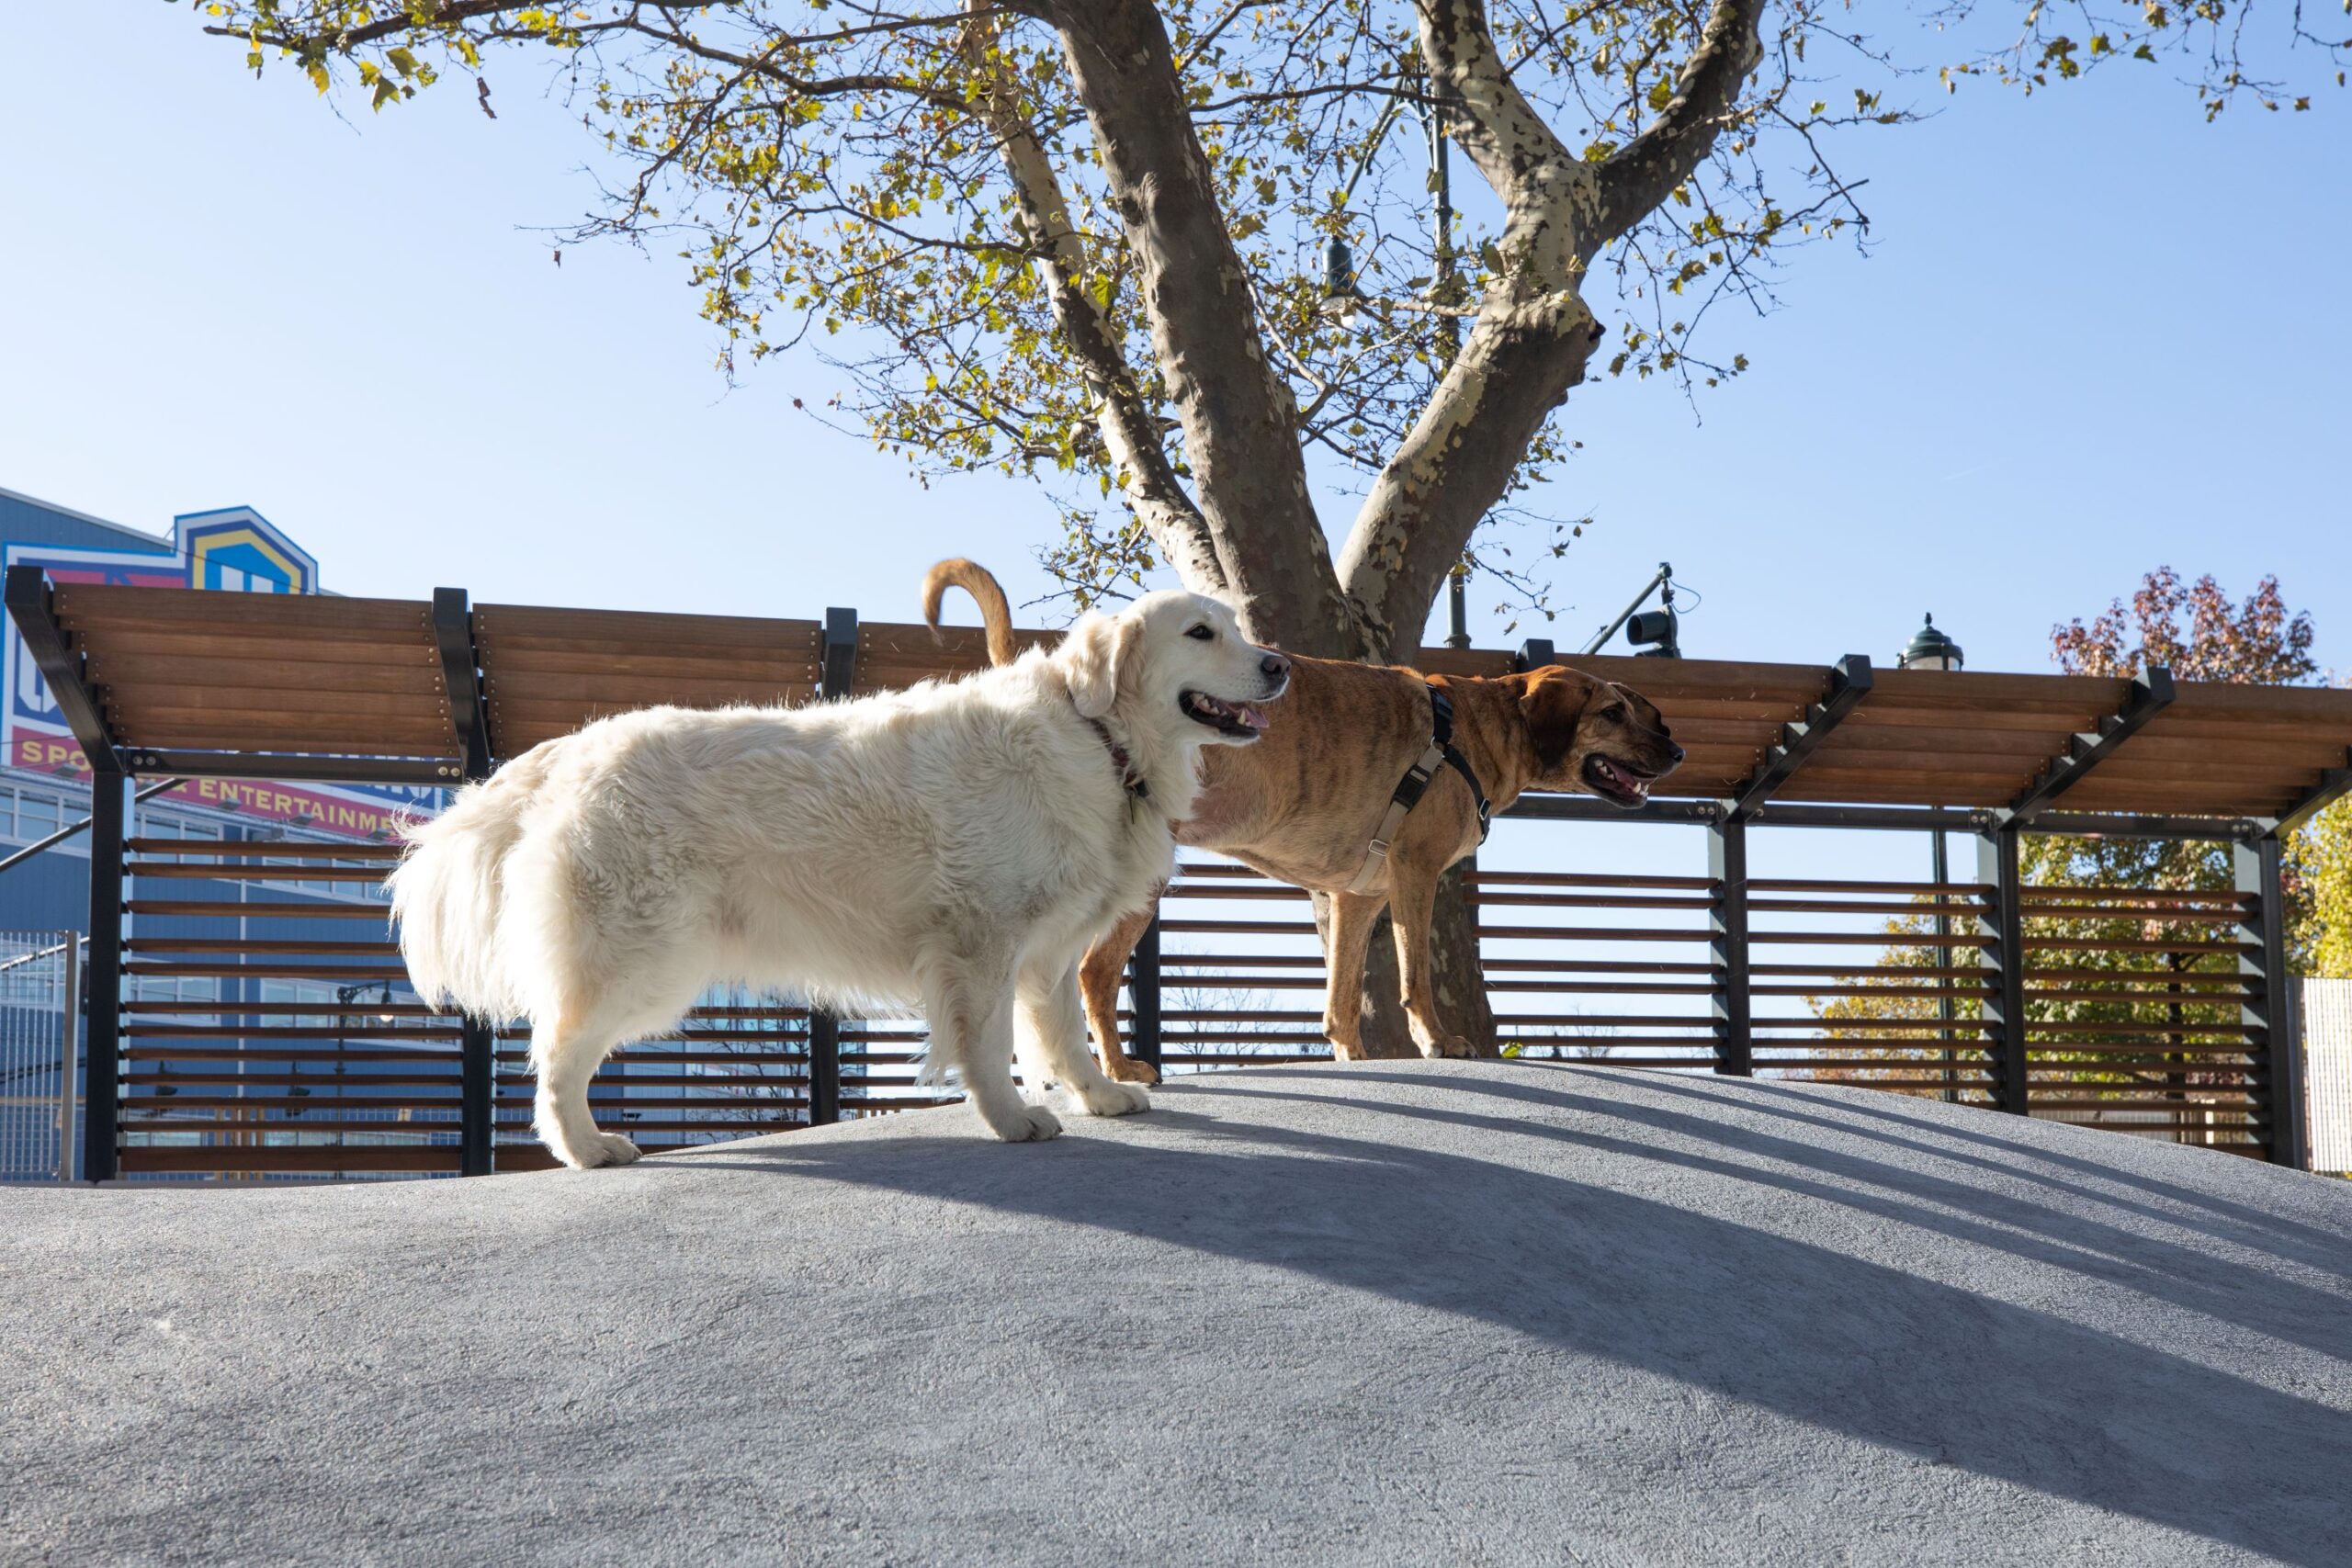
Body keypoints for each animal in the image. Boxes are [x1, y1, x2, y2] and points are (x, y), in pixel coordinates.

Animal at [392, 587, 1298, 1166]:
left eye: (1237, 625)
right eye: (1200, 632)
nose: (1281, 663)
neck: (1099, 736)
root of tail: (567, 752)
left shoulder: (1043, 952)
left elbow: (1064, 1034)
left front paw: (1098, 1094)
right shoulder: (981, 941)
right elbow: (988, 1045)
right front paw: (1010, 1119)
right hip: (640, 961)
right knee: (556, 1059)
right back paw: (585, 1147)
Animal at [926, 561, 1683, 1081]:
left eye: (1643, 711)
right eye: (1612, 712)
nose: (1675, 751)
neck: (1478, 725)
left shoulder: (1358, 897)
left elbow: (1343, 995)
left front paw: (1355, 1056)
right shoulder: (1415, 875)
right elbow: (1415, 977)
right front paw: (1440, 1042)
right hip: (1136, 888)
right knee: (1093, 973)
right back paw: (1117, 1068)